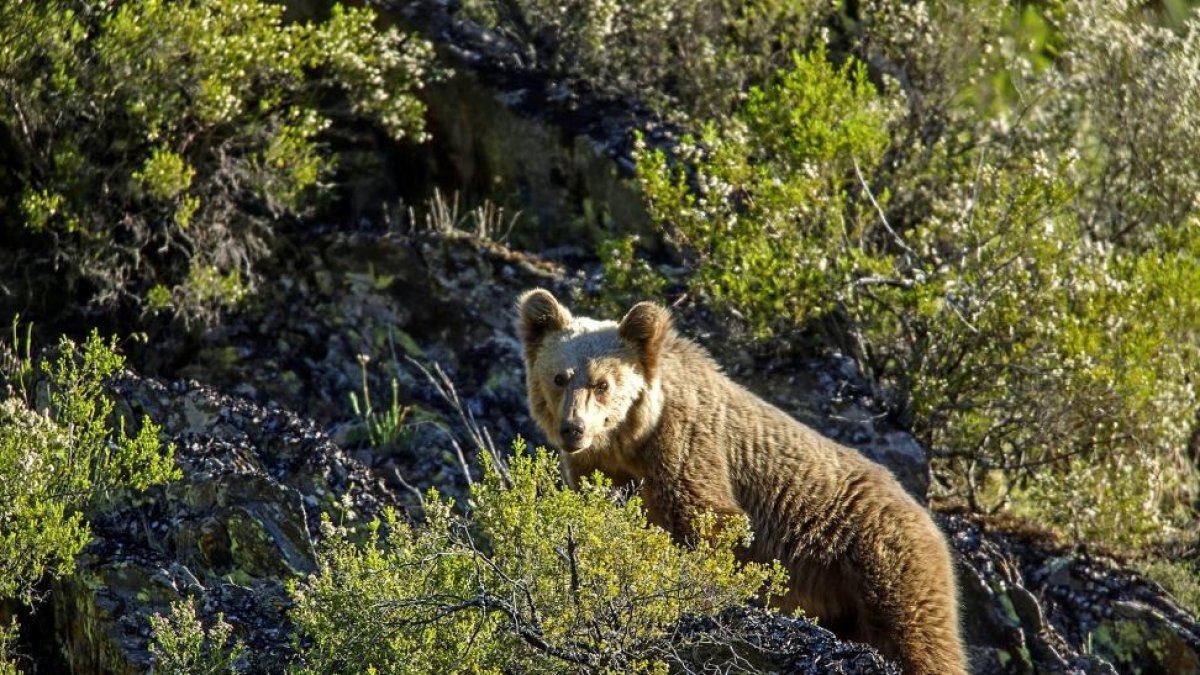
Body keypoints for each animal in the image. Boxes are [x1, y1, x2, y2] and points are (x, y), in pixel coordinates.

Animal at [516, 288, 967, 675]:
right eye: (559, 377)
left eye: (601, 383)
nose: (573, 428)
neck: (630, 441)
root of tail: (927, 516)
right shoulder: (599, 468)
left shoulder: (687, 447)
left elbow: (708, 521)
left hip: (882, 559)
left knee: (918, 636)